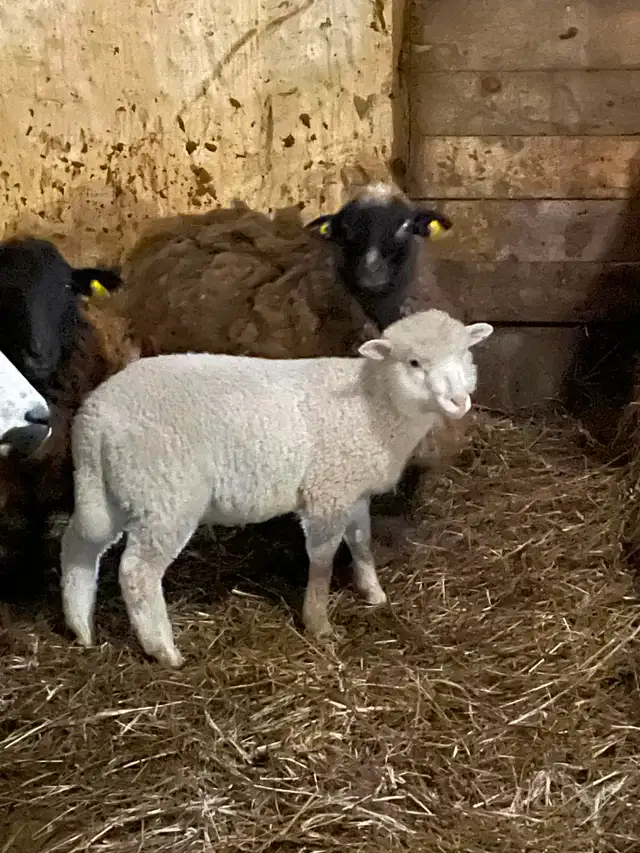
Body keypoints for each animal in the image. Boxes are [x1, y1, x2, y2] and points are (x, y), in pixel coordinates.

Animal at [60, 308, 493, 667]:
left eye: (464, 355)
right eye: (414, 362)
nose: (459, 401)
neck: (373, 402)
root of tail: (93, 419)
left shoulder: (351, 489)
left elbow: (361, 543)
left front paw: (373, 593)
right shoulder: (326, 492)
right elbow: (323, 559)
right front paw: (318, 623)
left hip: (112, 489)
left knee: (79, 544)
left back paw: (81, 628)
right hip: (166, 496)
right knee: (137, 571)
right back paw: (164, 651)